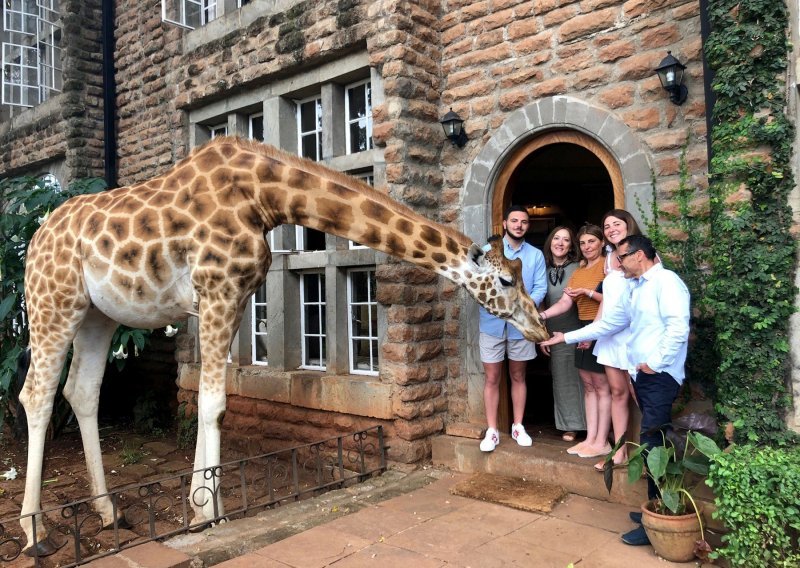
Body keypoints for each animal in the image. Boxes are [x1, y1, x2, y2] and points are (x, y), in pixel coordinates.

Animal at [18, 135, 552, 552]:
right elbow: (213, 403)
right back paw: (35, 533)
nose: (541, 330)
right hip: (55, 302)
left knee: (81, 392)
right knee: (36, 395)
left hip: (98, 314)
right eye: (506, 280)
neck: (264, 197)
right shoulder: (217, 291)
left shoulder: (232, 298)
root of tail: (35, 236)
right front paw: (211, 512)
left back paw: (109, 513)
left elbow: (213, 400)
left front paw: (198, 506)